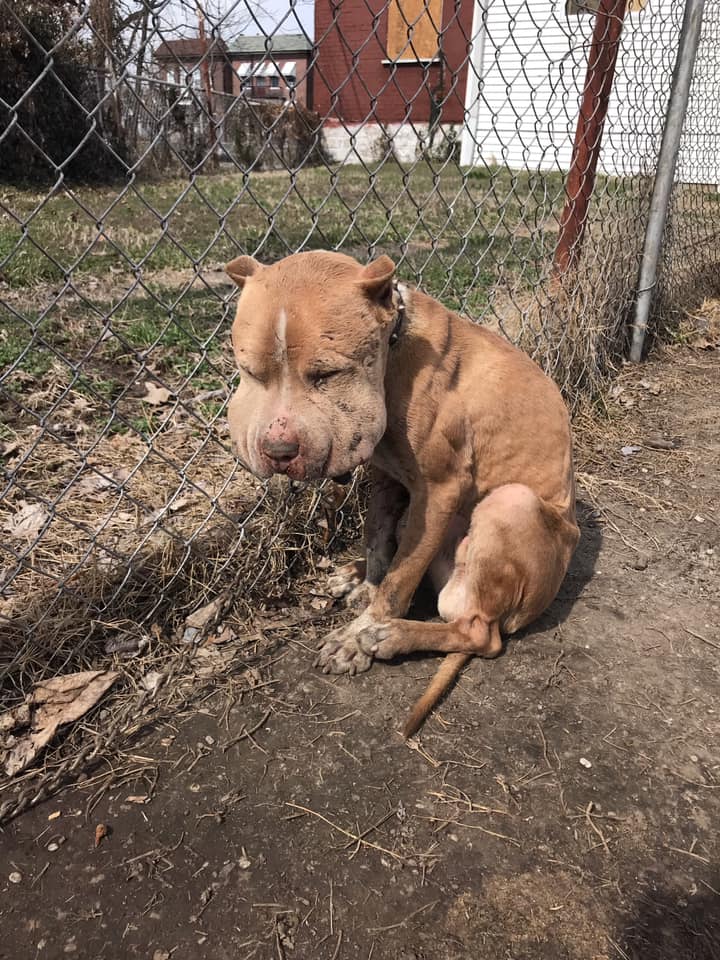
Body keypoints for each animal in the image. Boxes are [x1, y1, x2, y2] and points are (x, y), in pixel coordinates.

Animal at [225, 248, 580, 736]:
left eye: (326, 374)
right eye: (250, 373)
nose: (278, 451)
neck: (392, 352)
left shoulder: (439, 493)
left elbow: (398, 580)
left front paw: (358, 636)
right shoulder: (386, 478)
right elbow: (378, 541)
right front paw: (366, 582)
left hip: (512, 504)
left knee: (481, 634)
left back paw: (392, 635)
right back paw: (354, 578)